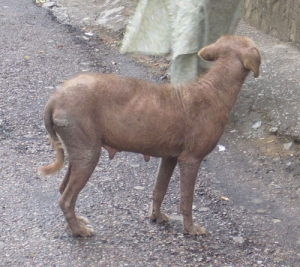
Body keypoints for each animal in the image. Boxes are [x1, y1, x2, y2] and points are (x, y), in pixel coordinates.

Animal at [39, 36, 260, 239]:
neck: (215, 89)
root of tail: (55, 97)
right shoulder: (190, 160)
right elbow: (186, 201)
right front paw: (190, 229)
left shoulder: (170, 157)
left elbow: (159, 190)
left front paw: (156, 217)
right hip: (88, 154)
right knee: (66, 199)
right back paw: (79, 231)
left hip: (79, 152)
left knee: (62, 188)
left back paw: (78, 222)